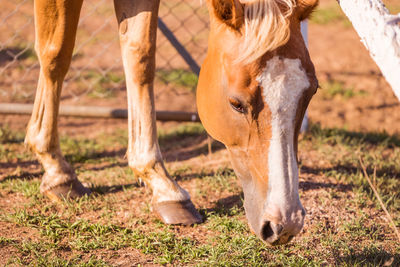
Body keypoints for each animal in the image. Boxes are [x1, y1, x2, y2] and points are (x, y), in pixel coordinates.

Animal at [25, 0, 318, 247]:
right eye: (236, 104)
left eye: (311, 92)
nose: (286, 222)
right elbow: (56, 55)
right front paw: (56, 168)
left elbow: (140, 57)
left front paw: (160, 184)